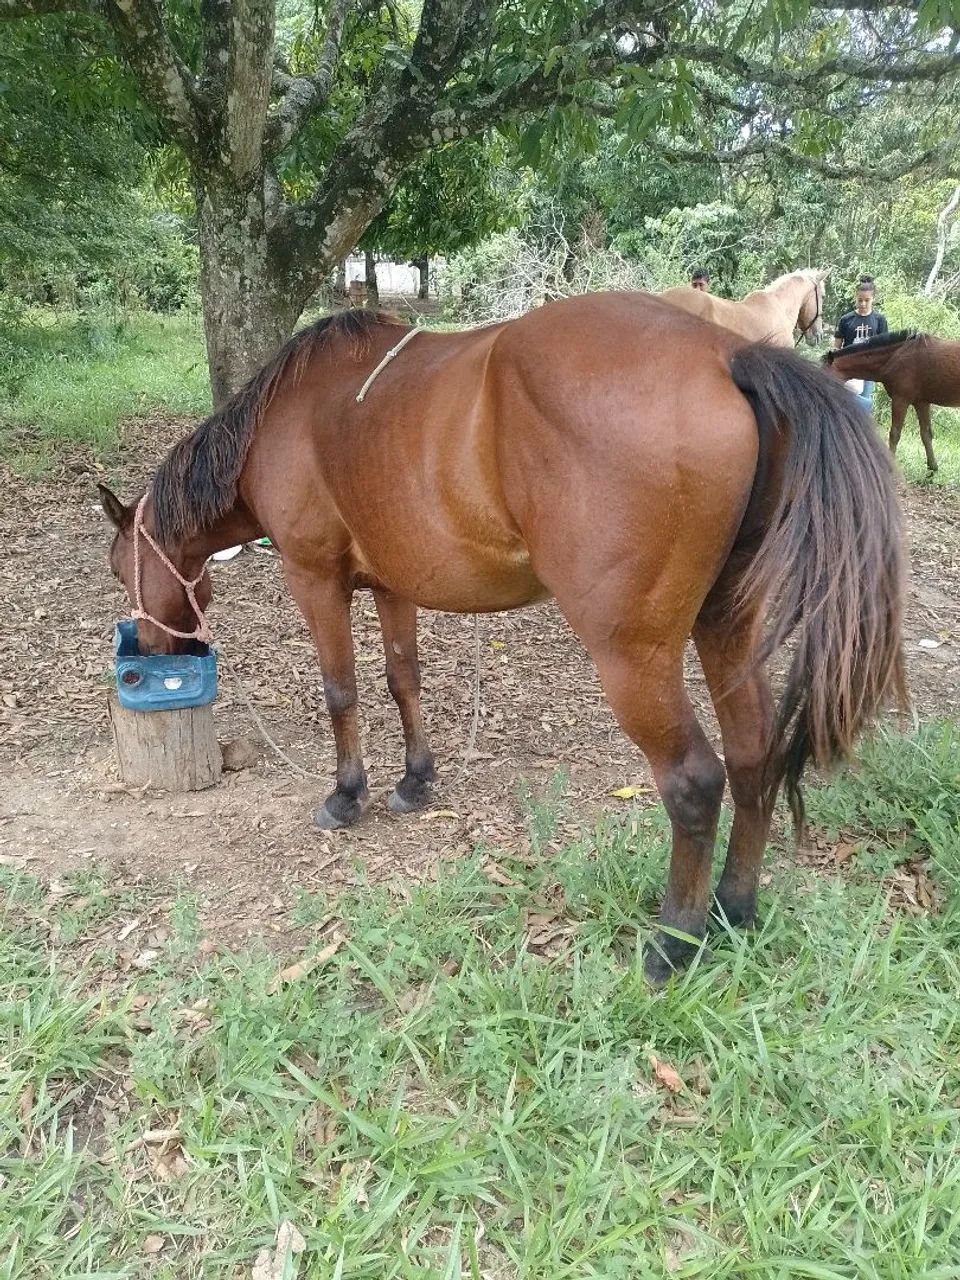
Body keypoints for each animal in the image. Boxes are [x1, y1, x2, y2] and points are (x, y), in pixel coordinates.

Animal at [98, 293, 905, 986]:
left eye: (119, 566)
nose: (159, 649)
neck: (289, 417)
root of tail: (727, 355)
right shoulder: (391, 585)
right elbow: (402, 680)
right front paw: (414, 780)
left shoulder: (314, 578)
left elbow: (341, 691)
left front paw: (347, 794)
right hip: (725, 628)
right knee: (751, 754)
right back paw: (735, 908)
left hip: (633, 658)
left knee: (695, 781)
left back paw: (674, 941)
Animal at [824, 328, 959, 473]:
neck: (896, 356)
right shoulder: (921, 403)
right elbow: (926, 433)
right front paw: (932, 467)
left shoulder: (900, 400)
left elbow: (895, 434)